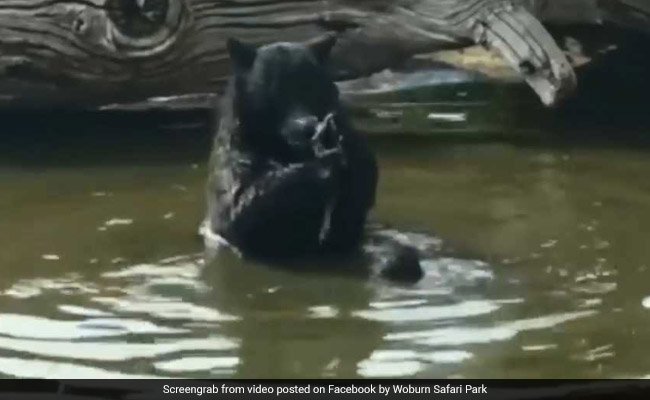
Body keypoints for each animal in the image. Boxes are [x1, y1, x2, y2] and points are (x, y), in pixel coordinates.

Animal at [201, 33, 423, 283]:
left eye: (310, 86)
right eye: (273, 91)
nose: (307, 126)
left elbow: (357, 195)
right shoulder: (235, 153)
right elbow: (239, 207)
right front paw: (326, 165)